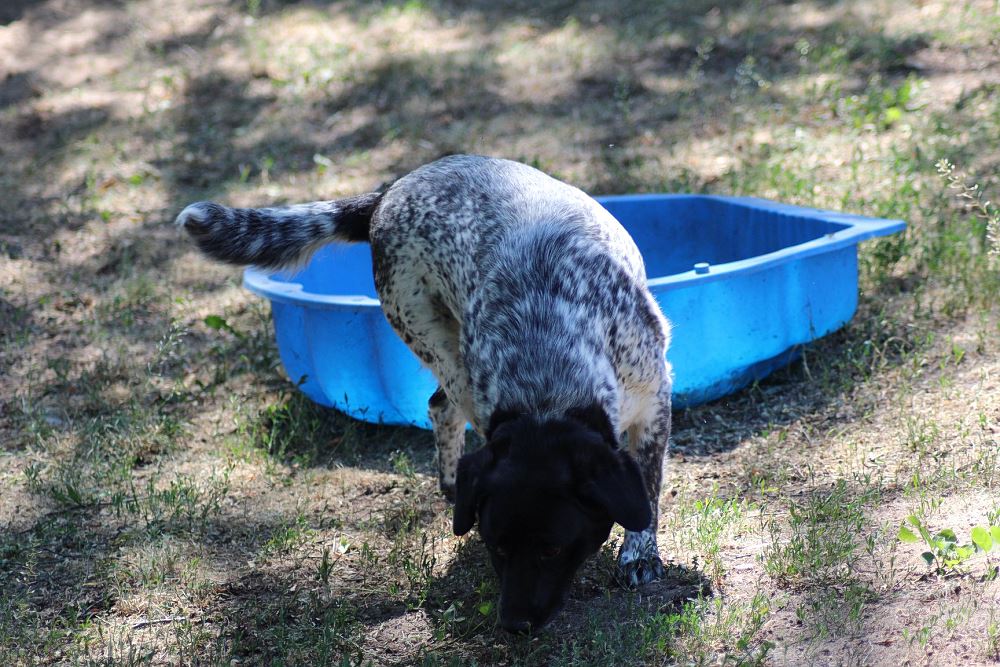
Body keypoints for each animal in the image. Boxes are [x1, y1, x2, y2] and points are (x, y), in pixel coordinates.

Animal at [176, 155, 672, 632]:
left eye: (552, 549)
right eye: (497, 546)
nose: (513, 624)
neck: (548, 384)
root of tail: (387, 194)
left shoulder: (655, 401)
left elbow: (647, 488)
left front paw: (640, 554)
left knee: (440, 408)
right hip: (436, 342)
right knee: (442, 407)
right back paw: (452, 484)